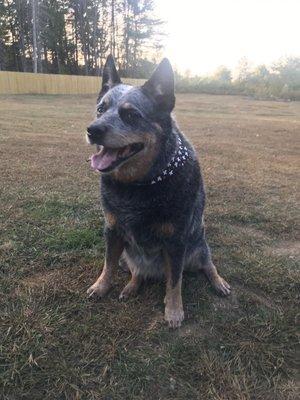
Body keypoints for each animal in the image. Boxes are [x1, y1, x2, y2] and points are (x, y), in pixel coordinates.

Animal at [85, 55, 231, 328]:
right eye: (101, 109)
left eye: (131, 114)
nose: (92, 130)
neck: (138, 186)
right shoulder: (112, 230)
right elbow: (108, 264)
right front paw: (101, 287)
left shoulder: (176, 242)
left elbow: (175, 282)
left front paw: (173, 311)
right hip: (128, 256)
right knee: (136, 271)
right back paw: (131, 286)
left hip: (197, 245)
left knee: (207, 264)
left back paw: (219, 282)